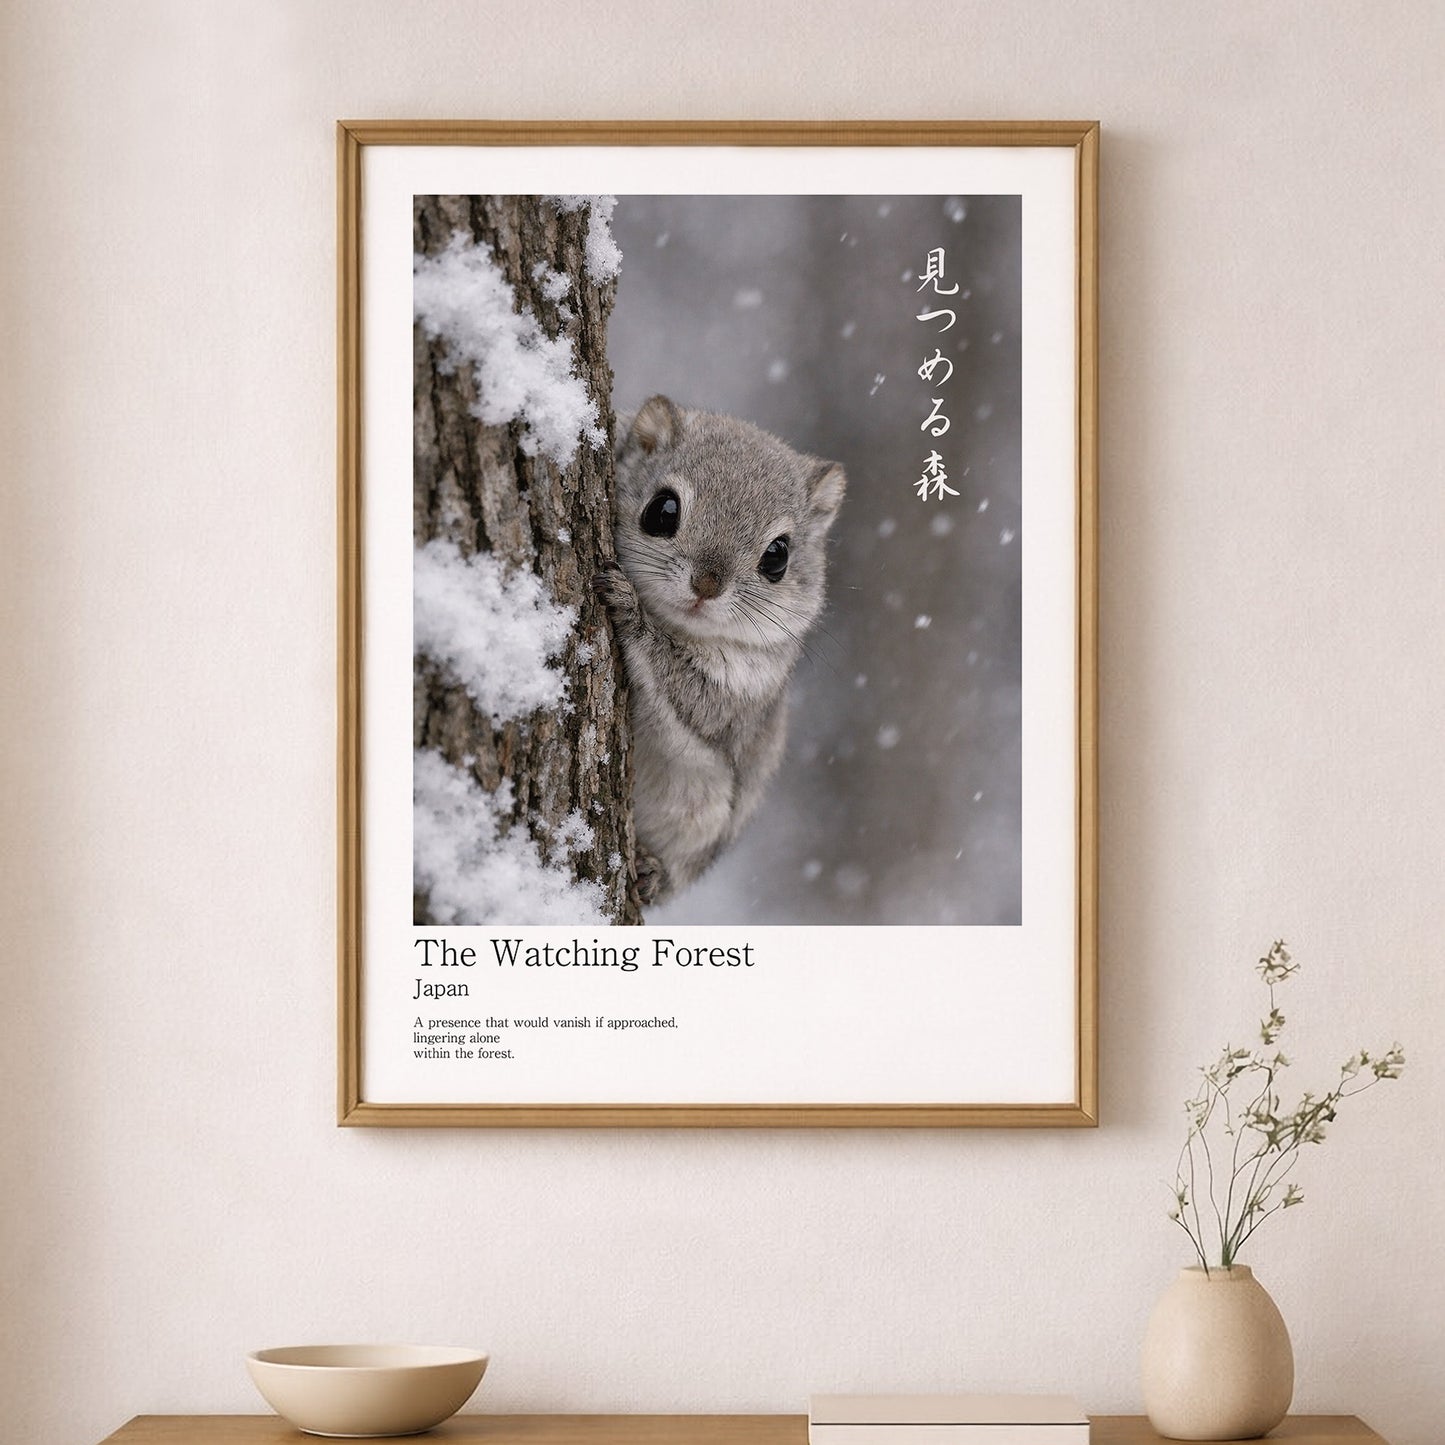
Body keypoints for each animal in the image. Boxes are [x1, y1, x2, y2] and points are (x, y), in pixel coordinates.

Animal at [593, 395, 846, 906]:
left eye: (777, 556)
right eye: (663, 510)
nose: (706, 585)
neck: (679, 626)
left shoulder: (745, 694)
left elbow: (694, 698)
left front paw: (630, 611)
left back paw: (651, 872)